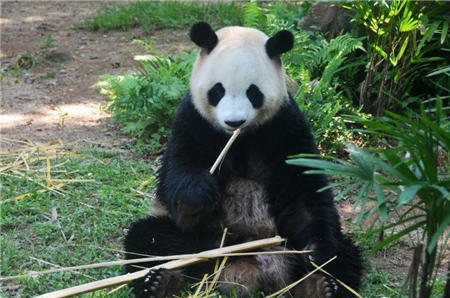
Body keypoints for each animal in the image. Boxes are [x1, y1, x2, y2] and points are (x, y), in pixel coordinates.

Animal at [125, 22, 364, 296]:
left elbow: (305, 190)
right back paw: (159, 282)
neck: (239, 137)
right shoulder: (193, 121)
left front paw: (315, 253)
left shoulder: (286, 125)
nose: (234, 121)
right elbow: (178, 172)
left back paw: (320, 285)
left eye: (253, 92)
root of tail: (244, 268)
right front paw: (198, 197)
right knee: (151, 240)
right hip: (196, 241)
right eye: (218, 90)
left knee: (344, 253)